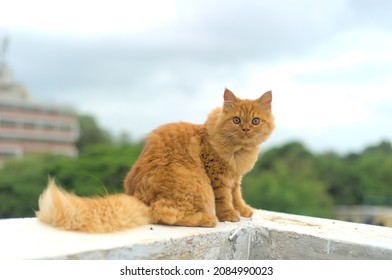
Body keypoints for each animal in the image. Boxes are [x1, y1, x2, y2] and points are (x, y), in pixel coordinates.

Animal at [36, 88, 276, 232]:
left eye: (255, 121)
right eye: (236, 120)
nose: (245, 129)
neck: (240, 151)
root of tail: (139, 198)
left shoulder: (235, 179)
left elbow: (237, 196)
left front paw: (243, 210)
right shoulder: (218, 177)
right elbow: (225, 200)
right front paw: (229, 215)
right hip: (195, 184)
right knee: (164, 213)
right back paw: (207, 219)